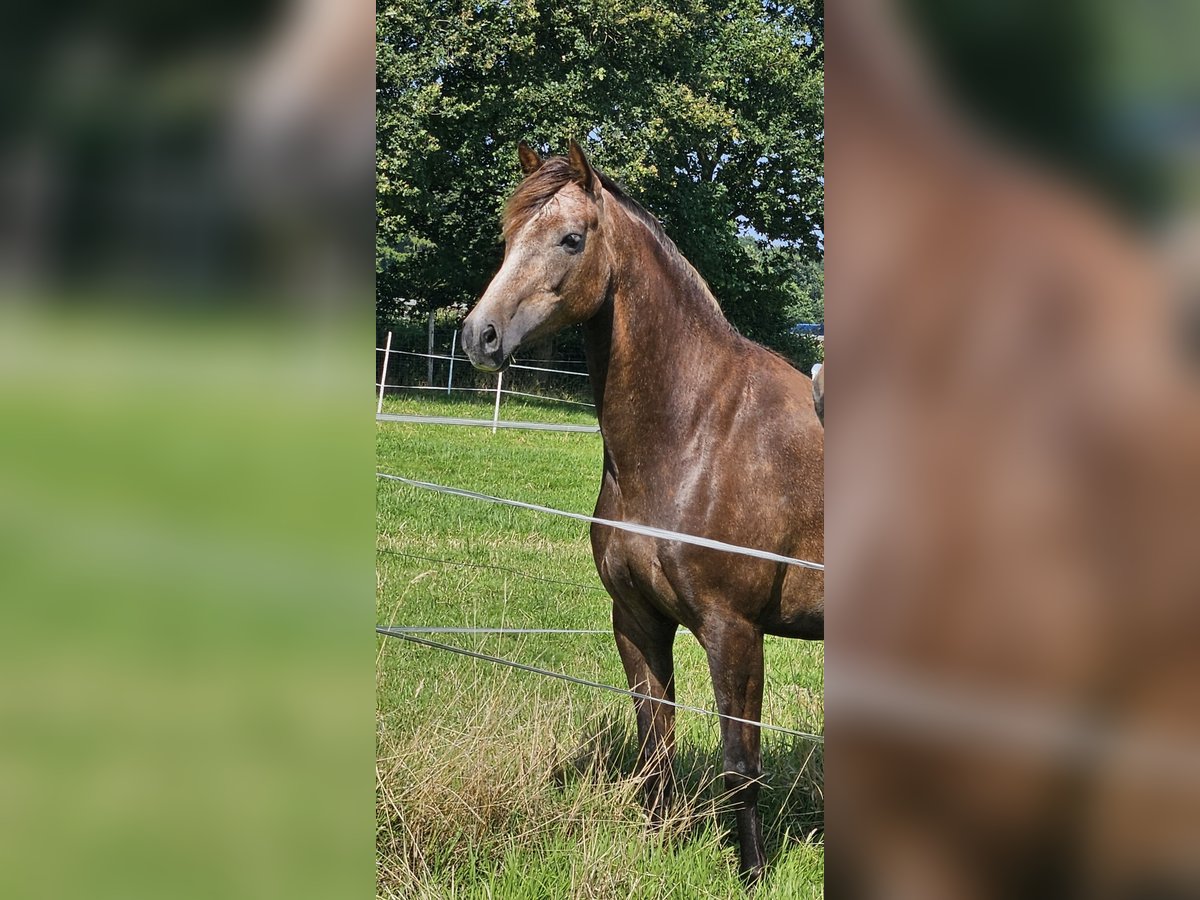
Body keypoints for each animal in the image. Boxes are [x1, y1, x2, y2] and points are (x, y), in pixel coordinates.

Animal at [461, 140, 824, 882]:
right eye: (508, 235)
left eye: (572, 239)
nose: (479, 335)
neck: (697, 432)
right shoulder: (637, 621)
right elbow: (654, 744)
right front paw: (659, 847)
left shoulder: (734, 630)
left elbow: (741, 764)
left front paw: (753, 873)